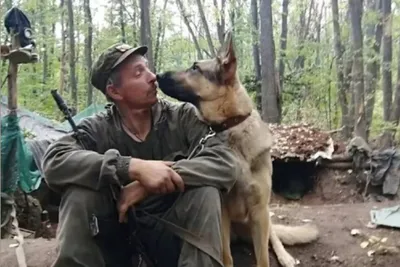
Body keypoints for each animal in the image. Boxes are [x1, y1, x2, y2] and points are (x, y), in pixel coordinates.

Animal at [156, 31, 318, 267]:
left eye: (195, 67)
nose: (157, 75)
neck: (230, 125)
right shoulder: (223, 213)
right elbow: (226, 255)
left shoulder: (259, 211)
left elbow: (263, 258)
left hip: (263, 217)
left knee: (274, 237)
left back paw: (286, 257)